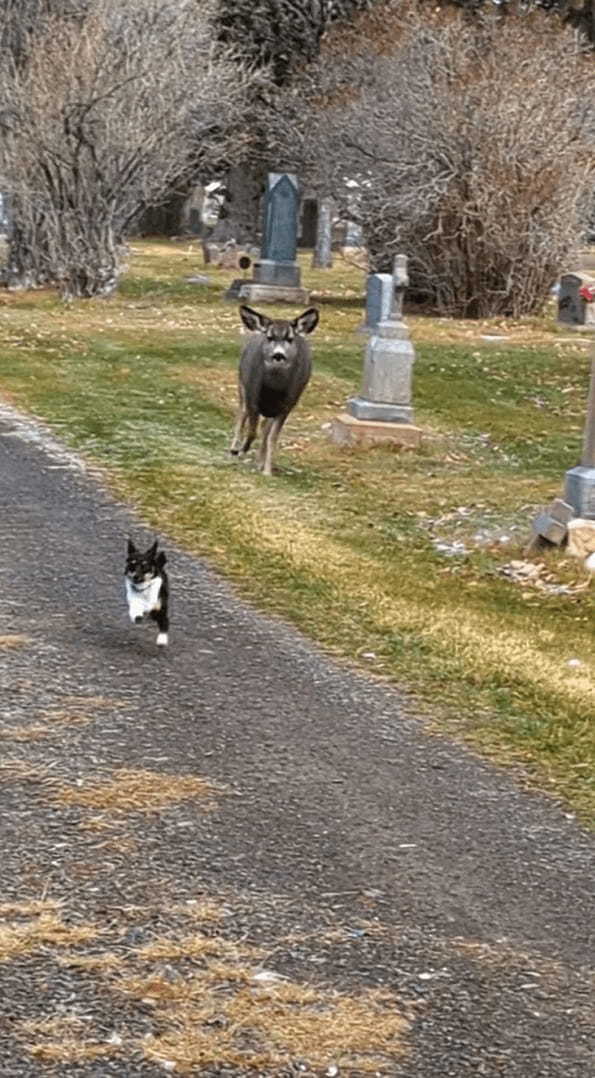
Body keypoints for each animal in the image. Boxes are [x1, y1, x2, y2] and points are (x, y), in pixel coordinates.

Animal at [228, 301, 321, 474]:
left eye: (290, 339)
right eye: (269, 337)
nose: (278, 355)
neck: (273, 390)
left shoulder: (286, 406)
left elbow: (272, 438)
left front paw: (267, 470)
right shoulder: (252, 397)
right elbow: (251, 431)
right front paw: (241, 450)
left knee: (264, 429)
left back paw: (259, 461)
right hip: (242, 385)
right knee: (241, 416)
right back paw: (234, 449)